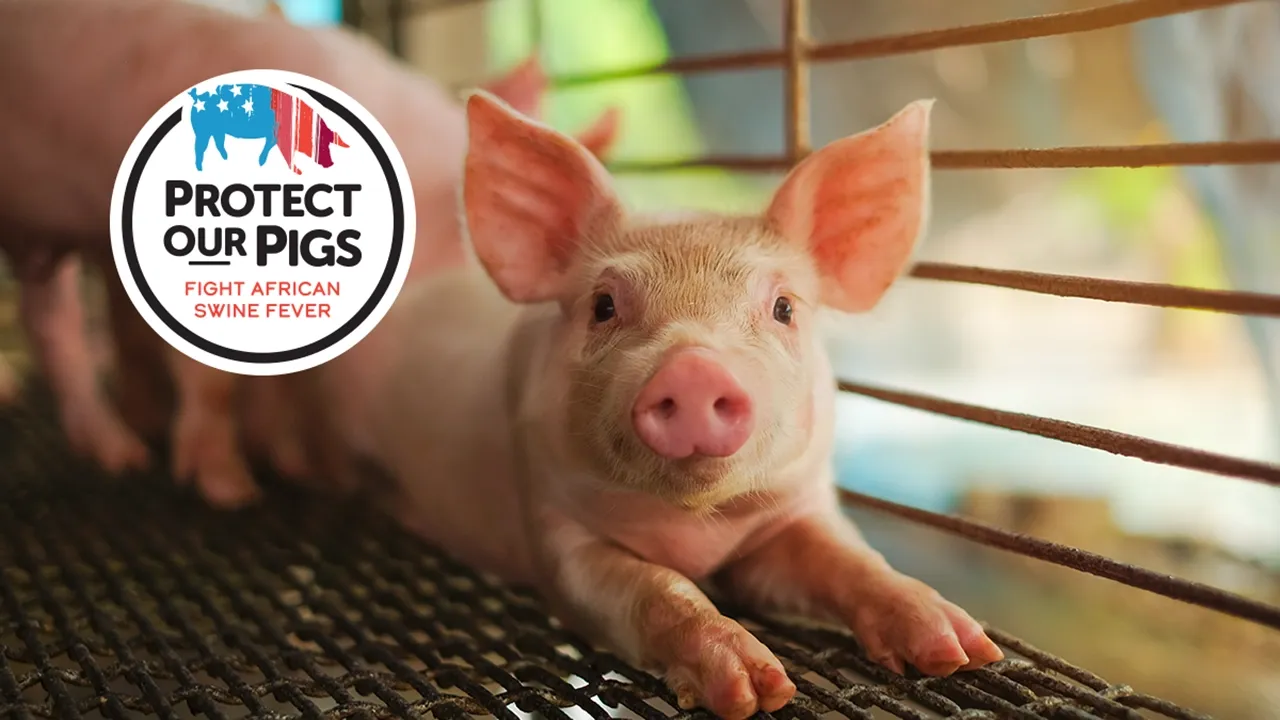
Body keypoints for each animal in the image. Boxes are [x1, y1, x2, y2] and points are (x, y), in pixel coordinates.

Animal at [0, 0, 619, 505]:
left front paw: (302, 470)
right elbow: (215, 379)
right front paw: (232, 492)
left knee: (47, 320)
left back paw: (118, 449)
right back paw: (124, 458)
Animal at [283, 91, 1003, 719]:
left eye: (784, 308)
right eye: (604, 306)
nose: (693, 368)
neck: (695, 529)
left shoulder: (795, 510)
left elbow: (848, 560)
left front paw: (961, 650)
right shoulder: (556, 529)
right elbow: (656, 591)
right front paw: (755, 690)